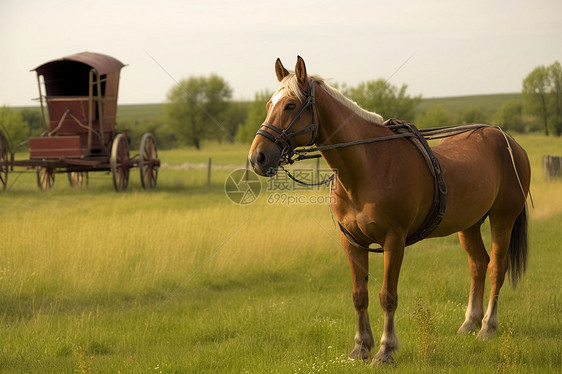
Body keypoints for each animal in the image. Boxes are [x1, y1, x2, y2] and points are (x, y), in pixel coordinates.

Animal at [246, 57, 528, 364]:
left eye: (290, 105)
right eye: (269, 105)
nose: (258, 157)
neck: (369, 166)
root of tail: (507, 140)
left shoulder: (394, 240)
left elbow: (387, 296)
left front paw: (385, 350)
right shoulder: (352, 242)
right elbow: (360, 295)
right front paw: (360, 347)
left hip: (503, 218)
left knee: (496, 267)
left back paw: (487, 327)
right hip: (469, 224)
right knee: (478, 264)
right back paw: (469, 323)